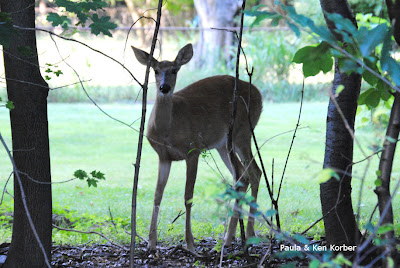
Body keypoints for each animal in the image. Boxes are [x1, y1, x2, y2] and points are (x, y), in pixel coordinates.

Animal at [131, 43, 262, 250]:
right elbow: (157, 194)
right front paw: (151, 242)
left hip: (242, 131)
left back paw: (247, 233)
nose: (164, 87)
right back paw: (231, 236)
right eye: (156, 70)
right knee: (242, 174)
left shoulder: (193, 150)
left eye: (175, 70)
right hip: (223, 145)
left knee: (255, 171)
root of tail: (259, 93)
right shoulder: (164, 156)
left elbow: (188, 196)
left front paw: (190, 243)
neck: (167, 130)